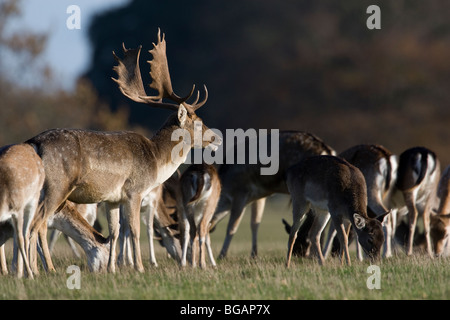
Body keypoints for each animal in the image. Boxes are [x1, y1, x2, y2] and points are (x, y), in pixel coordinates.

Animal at [0, 144, 45, 278]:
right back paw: (19, 273)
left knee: (25, 234)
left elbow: (20, 239)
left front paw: (30, 275)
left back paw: (25, 272)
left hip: (34, 199)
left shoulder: (17, 210)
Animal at [25, 29, 221, 272]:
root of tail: (34, 143)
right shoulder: (134, 191)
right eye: (198, 122)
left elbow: (116, 232)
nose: (217, 138)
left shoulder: (112, 199)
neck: (156, 159)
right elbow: (135, 231)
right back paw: (39, 270)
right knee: (37, 225)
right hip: (57, 186)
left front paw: (112, 268)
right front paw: (139, 267)